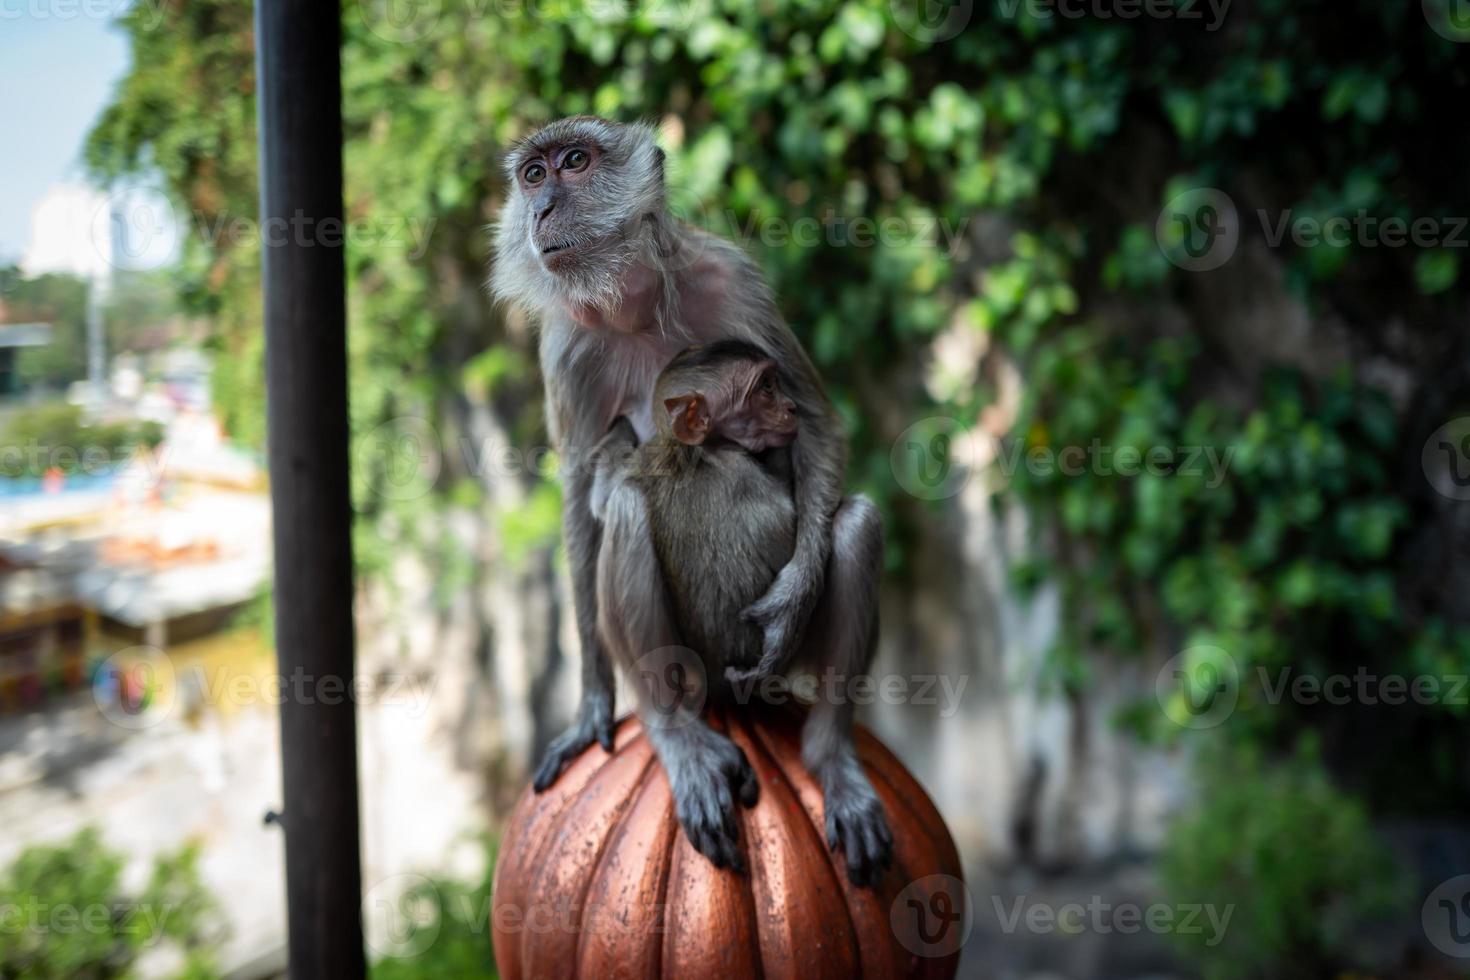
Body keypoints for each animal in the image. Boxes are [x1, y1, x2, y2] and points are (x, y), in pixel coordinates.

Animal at [588, 340, 887, 887]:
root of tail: (726, 692)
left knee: (623, 505)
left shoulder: (658, 458)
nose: (790, 408)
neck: (705, 454)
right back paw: (675, 732)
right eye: (765, 389)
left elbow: (605, 492)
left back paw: (829, 758)